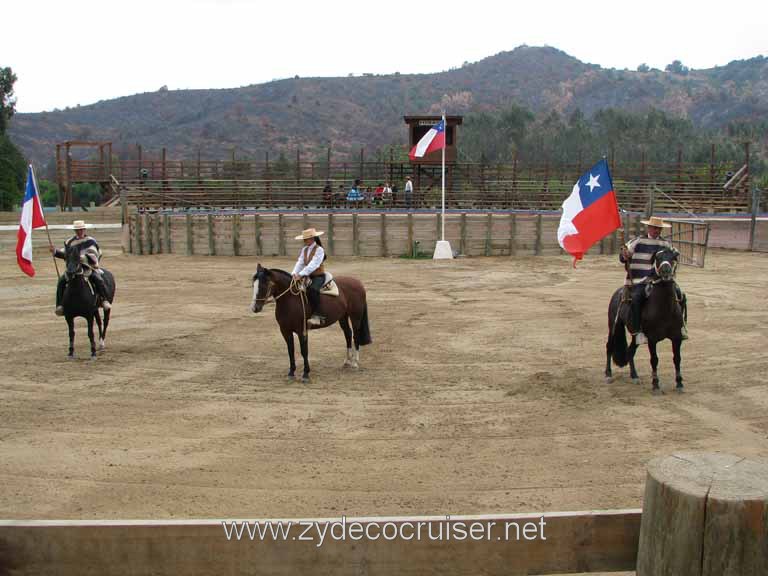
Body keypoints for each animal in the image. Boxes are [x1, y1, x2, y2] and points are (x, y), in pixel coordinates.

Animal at [608, 245, 684, 394]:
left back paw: (634, 376)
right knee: (609, 347)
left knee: (630, 351)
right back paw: (607, 374)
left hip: (635, 335)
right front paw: (655, 385)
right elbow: (654, 360)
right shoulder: (652, 339)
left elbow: (677, 359)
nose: (665, 271)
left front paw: (679, 383)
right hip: (613, 326)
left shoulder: (676, 337)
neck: (665, 309)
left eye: (673, 257)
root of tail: (619, 293)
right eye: (658, 258)